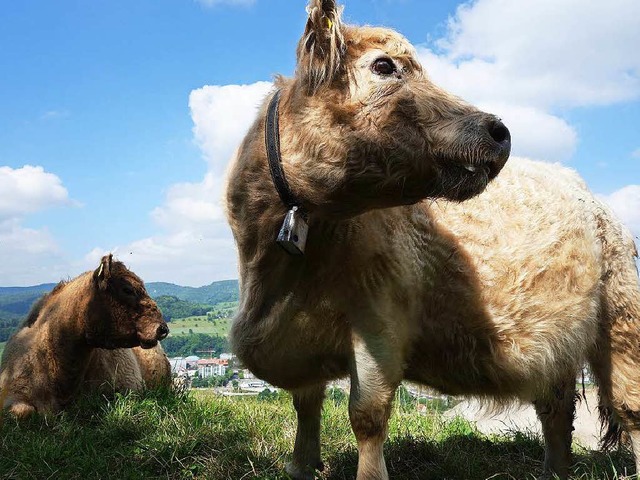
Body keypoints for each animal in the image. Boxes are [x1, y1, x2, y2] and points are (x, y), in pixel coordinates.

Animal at [225, 0, 640, 480]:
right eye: (384, 66)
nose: (499, 131)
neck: (277, 279)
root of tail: (587, 191)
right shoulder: (299, 341)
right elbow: (306, 404)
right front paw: (301, 465)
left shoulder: (379, 320)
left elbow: (366, 415)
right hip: (556, 344)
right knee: (555, 410)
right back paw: (554, 471)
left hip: (622, 317)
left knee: (630, 409)